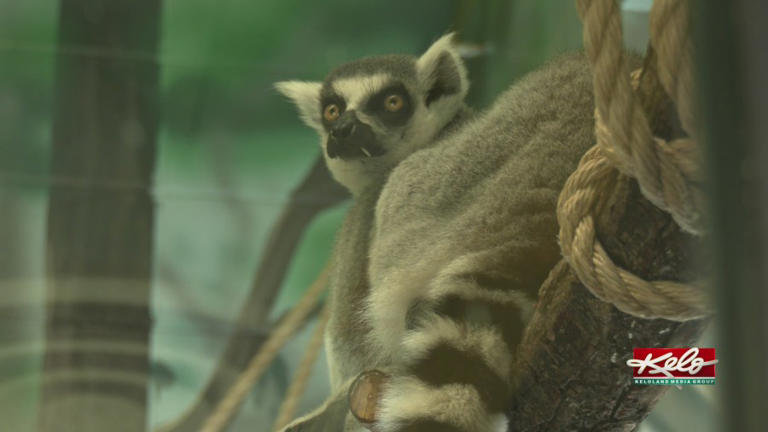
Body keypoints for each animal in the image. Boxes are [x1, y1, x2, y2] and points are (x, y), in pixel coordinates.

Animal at [275, 33, 596, 431]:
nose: (343, 130)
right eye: (333, 110)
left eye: (392, 103)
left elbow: (353, 338)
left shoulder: (367, 217)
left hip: (439, 192)